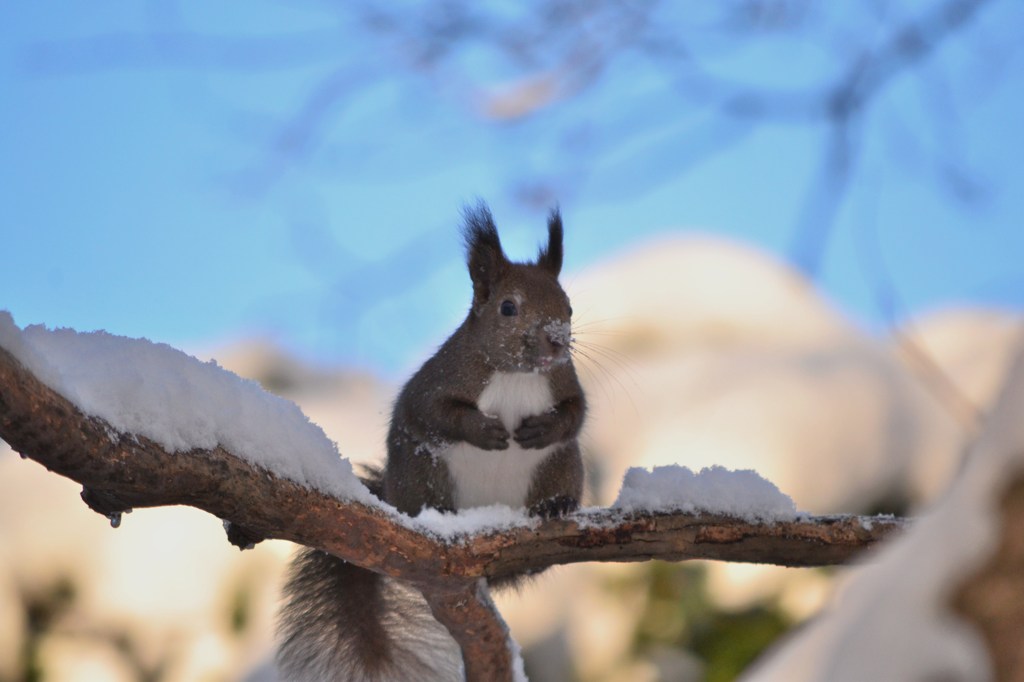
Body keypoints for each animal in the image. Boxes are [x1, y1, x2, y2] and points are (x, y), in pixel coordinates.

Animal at [276, 201, 589, 679]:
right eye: (508, 308)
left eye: (568, 307)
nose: (556, 342)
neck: (517, 375)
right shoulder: (438, 383)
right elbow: (436, 413)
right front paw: (485, 430)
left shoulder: (564, 382)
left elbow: (575, 414)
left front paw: (542, 429)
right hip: (424, 469)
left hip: (563, 466)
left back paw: (555, 507)